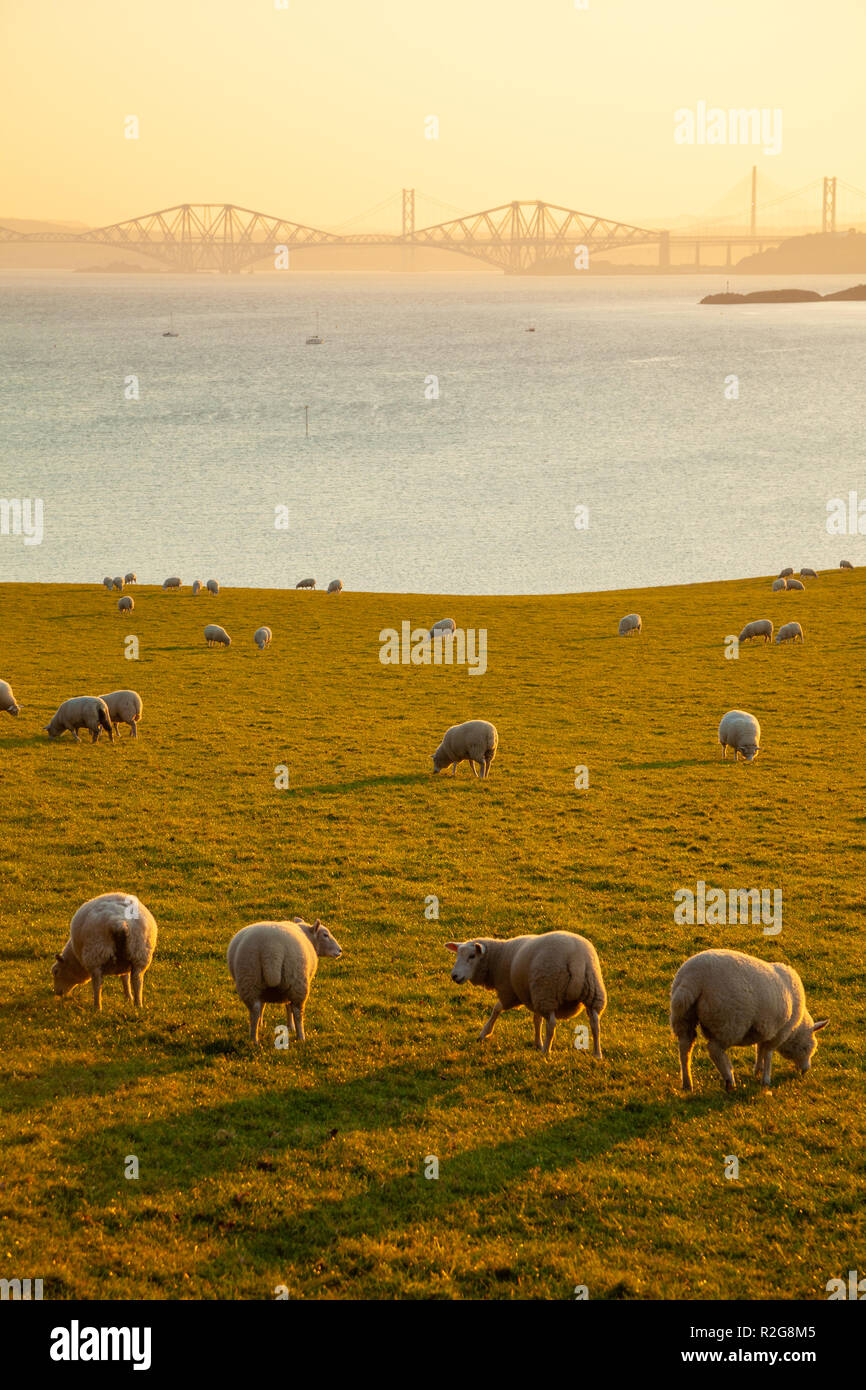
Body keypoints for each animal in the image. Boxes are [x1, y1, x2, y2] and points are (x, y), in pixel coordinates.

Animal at [226, 911, 341, 1045]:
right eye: (325, 935)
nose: (340, 950)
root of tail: (271, 949)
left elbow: (263, 1005)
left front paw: (261, 1024)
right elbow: (288, 1007)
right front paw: (291, 1027)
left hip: (249, 979)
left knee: (254, 1009)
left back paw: (254, 1039)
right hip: (296, 982)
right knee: (297, 1011)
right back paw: (301, 1037)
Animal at [447, 928, 608, 1056]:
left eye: (472, 956)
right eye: (457, 955)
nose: (454, 976)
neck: (498, 958)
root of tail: (576, 960)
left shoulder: (510, 992)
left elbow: (496, 1009)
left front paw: (484, 1033)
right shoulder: (533, 994)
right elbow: (537, 1020)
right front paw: (538, 1043)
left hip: (547, 990)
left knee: (552, 1024)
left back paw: (546, 1053)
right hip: (591, 991)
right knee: (595, 1022)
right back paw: (597, 1054)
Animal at [670, 950, 828, 1089]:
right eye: (807, 1047)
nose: (805, 1070)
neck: (795, 1030)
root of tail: (693, 979)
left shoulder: (765, 1029)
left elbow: (760, 1050)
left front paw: (757, 1070)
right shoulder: (779, 1032)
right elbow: (768, 1053)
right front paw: (766, 1079)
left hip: (683, 1016)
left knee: (685, 1047)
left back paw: (687, 1083)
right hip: (730, 1022)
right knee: (714, 1050)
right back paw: (729, 1079)